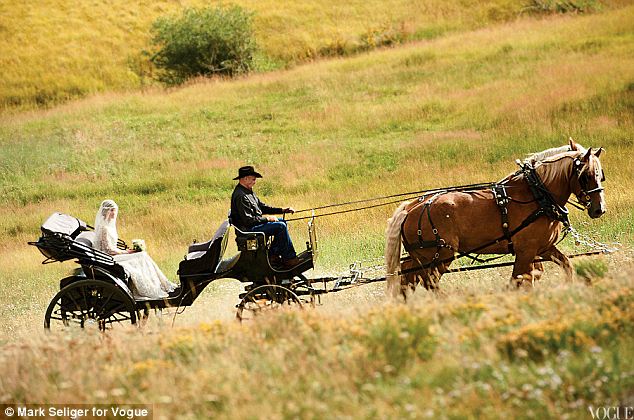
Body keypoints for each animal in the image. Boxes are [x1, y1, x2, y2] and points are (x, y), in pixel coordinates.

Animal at [382, 139, 604, 296]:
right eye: (586, 176)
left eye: (601, 174)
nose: (599, 209)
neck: (537, 193)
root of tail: (411, 207)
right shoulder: (526, 250)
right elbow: (522, 279)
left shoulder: (543, 248)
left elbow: (563, 266)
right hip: (440, 255)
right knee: (428, 281)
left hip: (421, 256)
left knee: (408, 278)